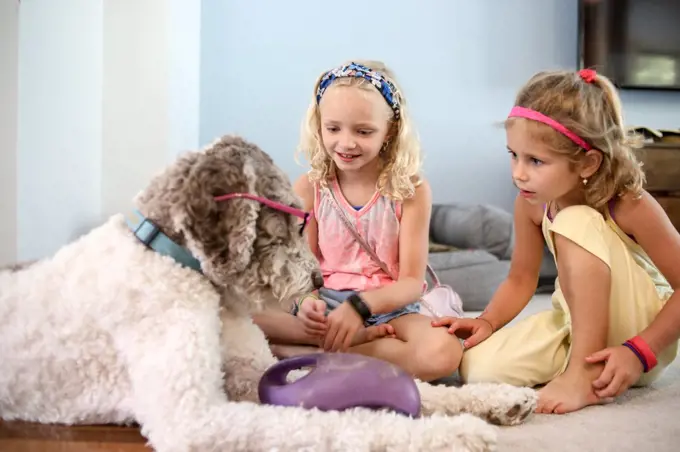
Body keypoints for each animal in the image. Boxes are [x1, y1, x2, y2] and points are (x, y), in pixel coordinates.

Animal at [1, 136, 536, 450]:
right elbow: (330, 423)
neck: (177, 264)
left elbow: (427, 390)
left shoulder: (251, 374)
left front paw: (500, 400)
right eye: (294, 222)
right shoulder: (196, 418)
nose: (320, 284)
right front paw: (456, 433)